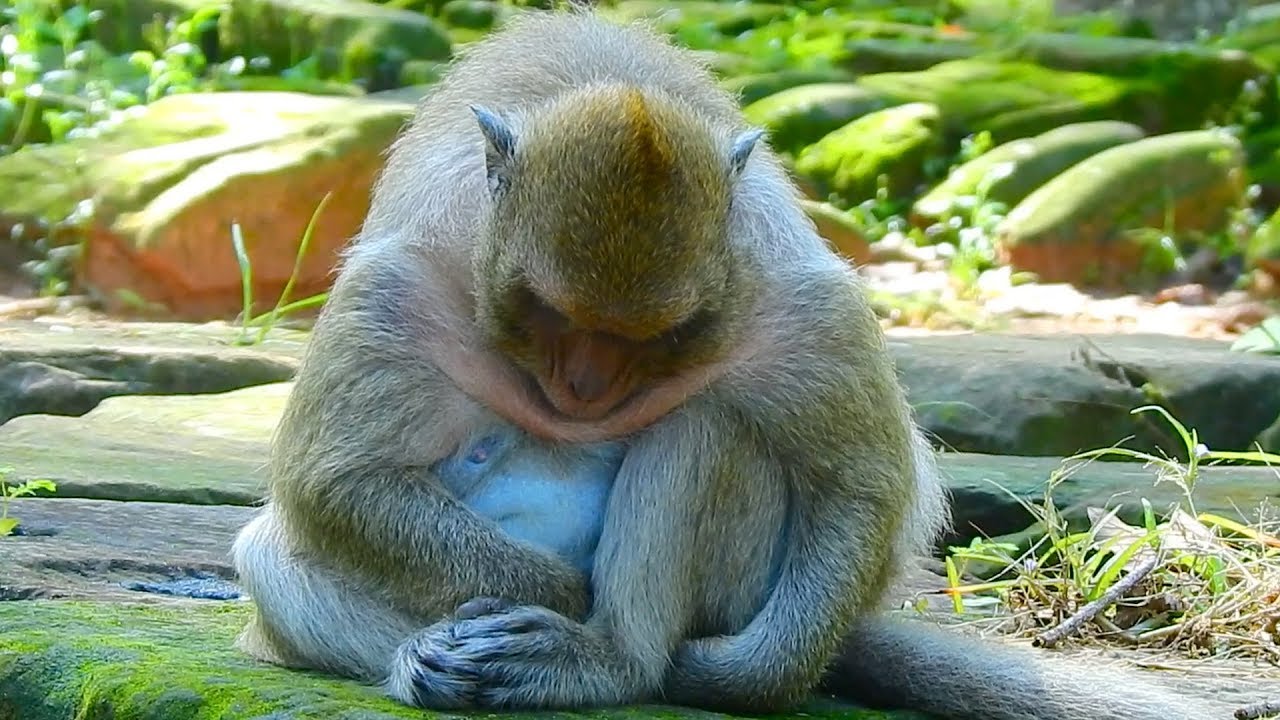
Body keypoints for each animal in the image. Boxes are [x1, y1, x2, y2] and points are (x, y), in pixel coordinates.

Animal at [230, 7, 1241, 720]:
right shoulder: (395, 288)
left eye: (658, 333)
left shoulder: (802, 307)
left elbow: (864, 489)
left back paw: (608, 659)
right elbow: (339, 482)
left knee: (709, 426)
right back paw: (427, 657)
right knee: (272, 557)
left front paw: (720, 666)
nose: (585, 388)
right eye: (552, 315)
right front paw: (546, 590)